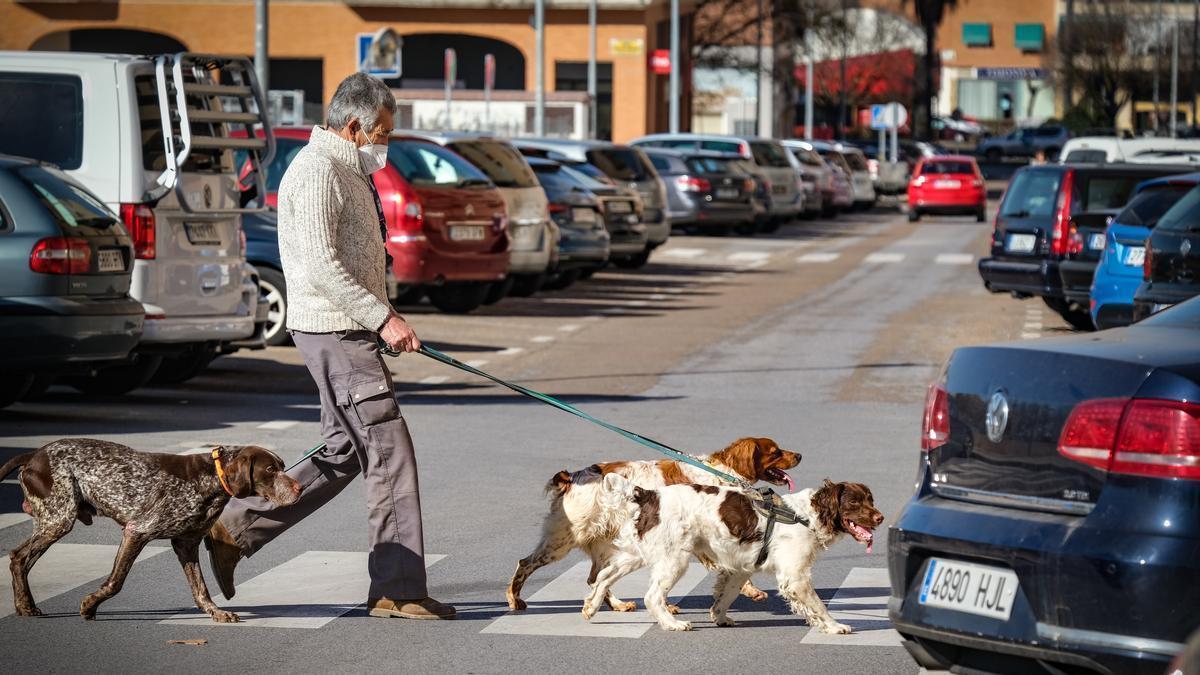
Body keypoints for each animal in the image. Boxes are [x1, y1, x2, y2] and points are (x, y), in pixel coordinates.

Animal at [0, 437, 300, 619]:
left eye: (283, 466)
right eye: (270, 470)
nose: (299, 488)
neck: (210, 479)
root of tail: (34, 454)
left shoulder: (186, 544)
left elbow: (201, 589)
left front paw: (216, 613)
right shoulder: (137, 531)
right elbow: (116, 582)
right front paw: (90, 605)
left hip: (53, 521)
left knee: (21, 560)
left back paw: (25, 605)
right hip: (58, 519)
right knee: (18, 557)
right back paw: (25, 605)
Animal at [504, 437, 796, 610]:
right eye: (776, 452)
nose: (800, 455)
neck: (722, 472)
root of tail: (571, 477)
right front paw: (750, 590)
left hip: (604, 543)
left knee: (595, 577)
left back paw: (616, 605)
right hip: (563, 540)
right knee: (526, 563)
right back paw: (514, 599)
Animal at [585, 473, 888, 629]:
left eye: (871, 499)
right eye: (854, 502)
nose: (880, 518)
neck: (804, 516)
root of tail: (649, 494)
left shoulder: (740, 568)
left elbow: (725, 597)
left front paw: (719, 618)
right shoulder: (795, 576)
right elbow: (818, 605)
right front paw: (835, 627)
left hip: (637, 553)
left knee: (604, 576)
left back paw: (590, 607)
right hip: (674, 559)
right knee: (652, 596)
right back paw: (672, 623)